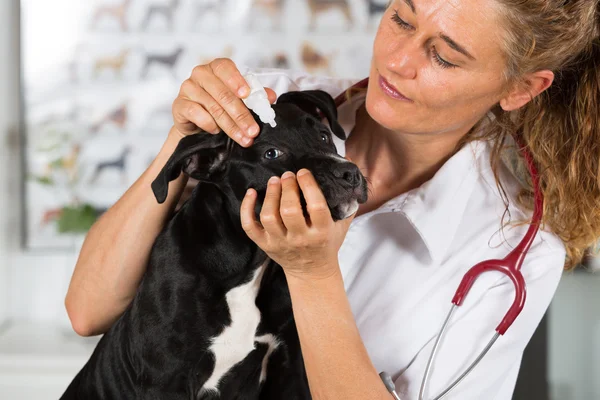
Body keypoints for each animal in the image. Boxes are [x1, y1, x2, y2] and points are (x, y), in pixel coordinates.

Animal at [62, 89, 370, 398]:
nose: (349, 174)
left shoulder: (290, 370)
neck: (247, 269)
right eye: (271, 153)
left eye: (323, 136)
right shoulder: (166, 379)